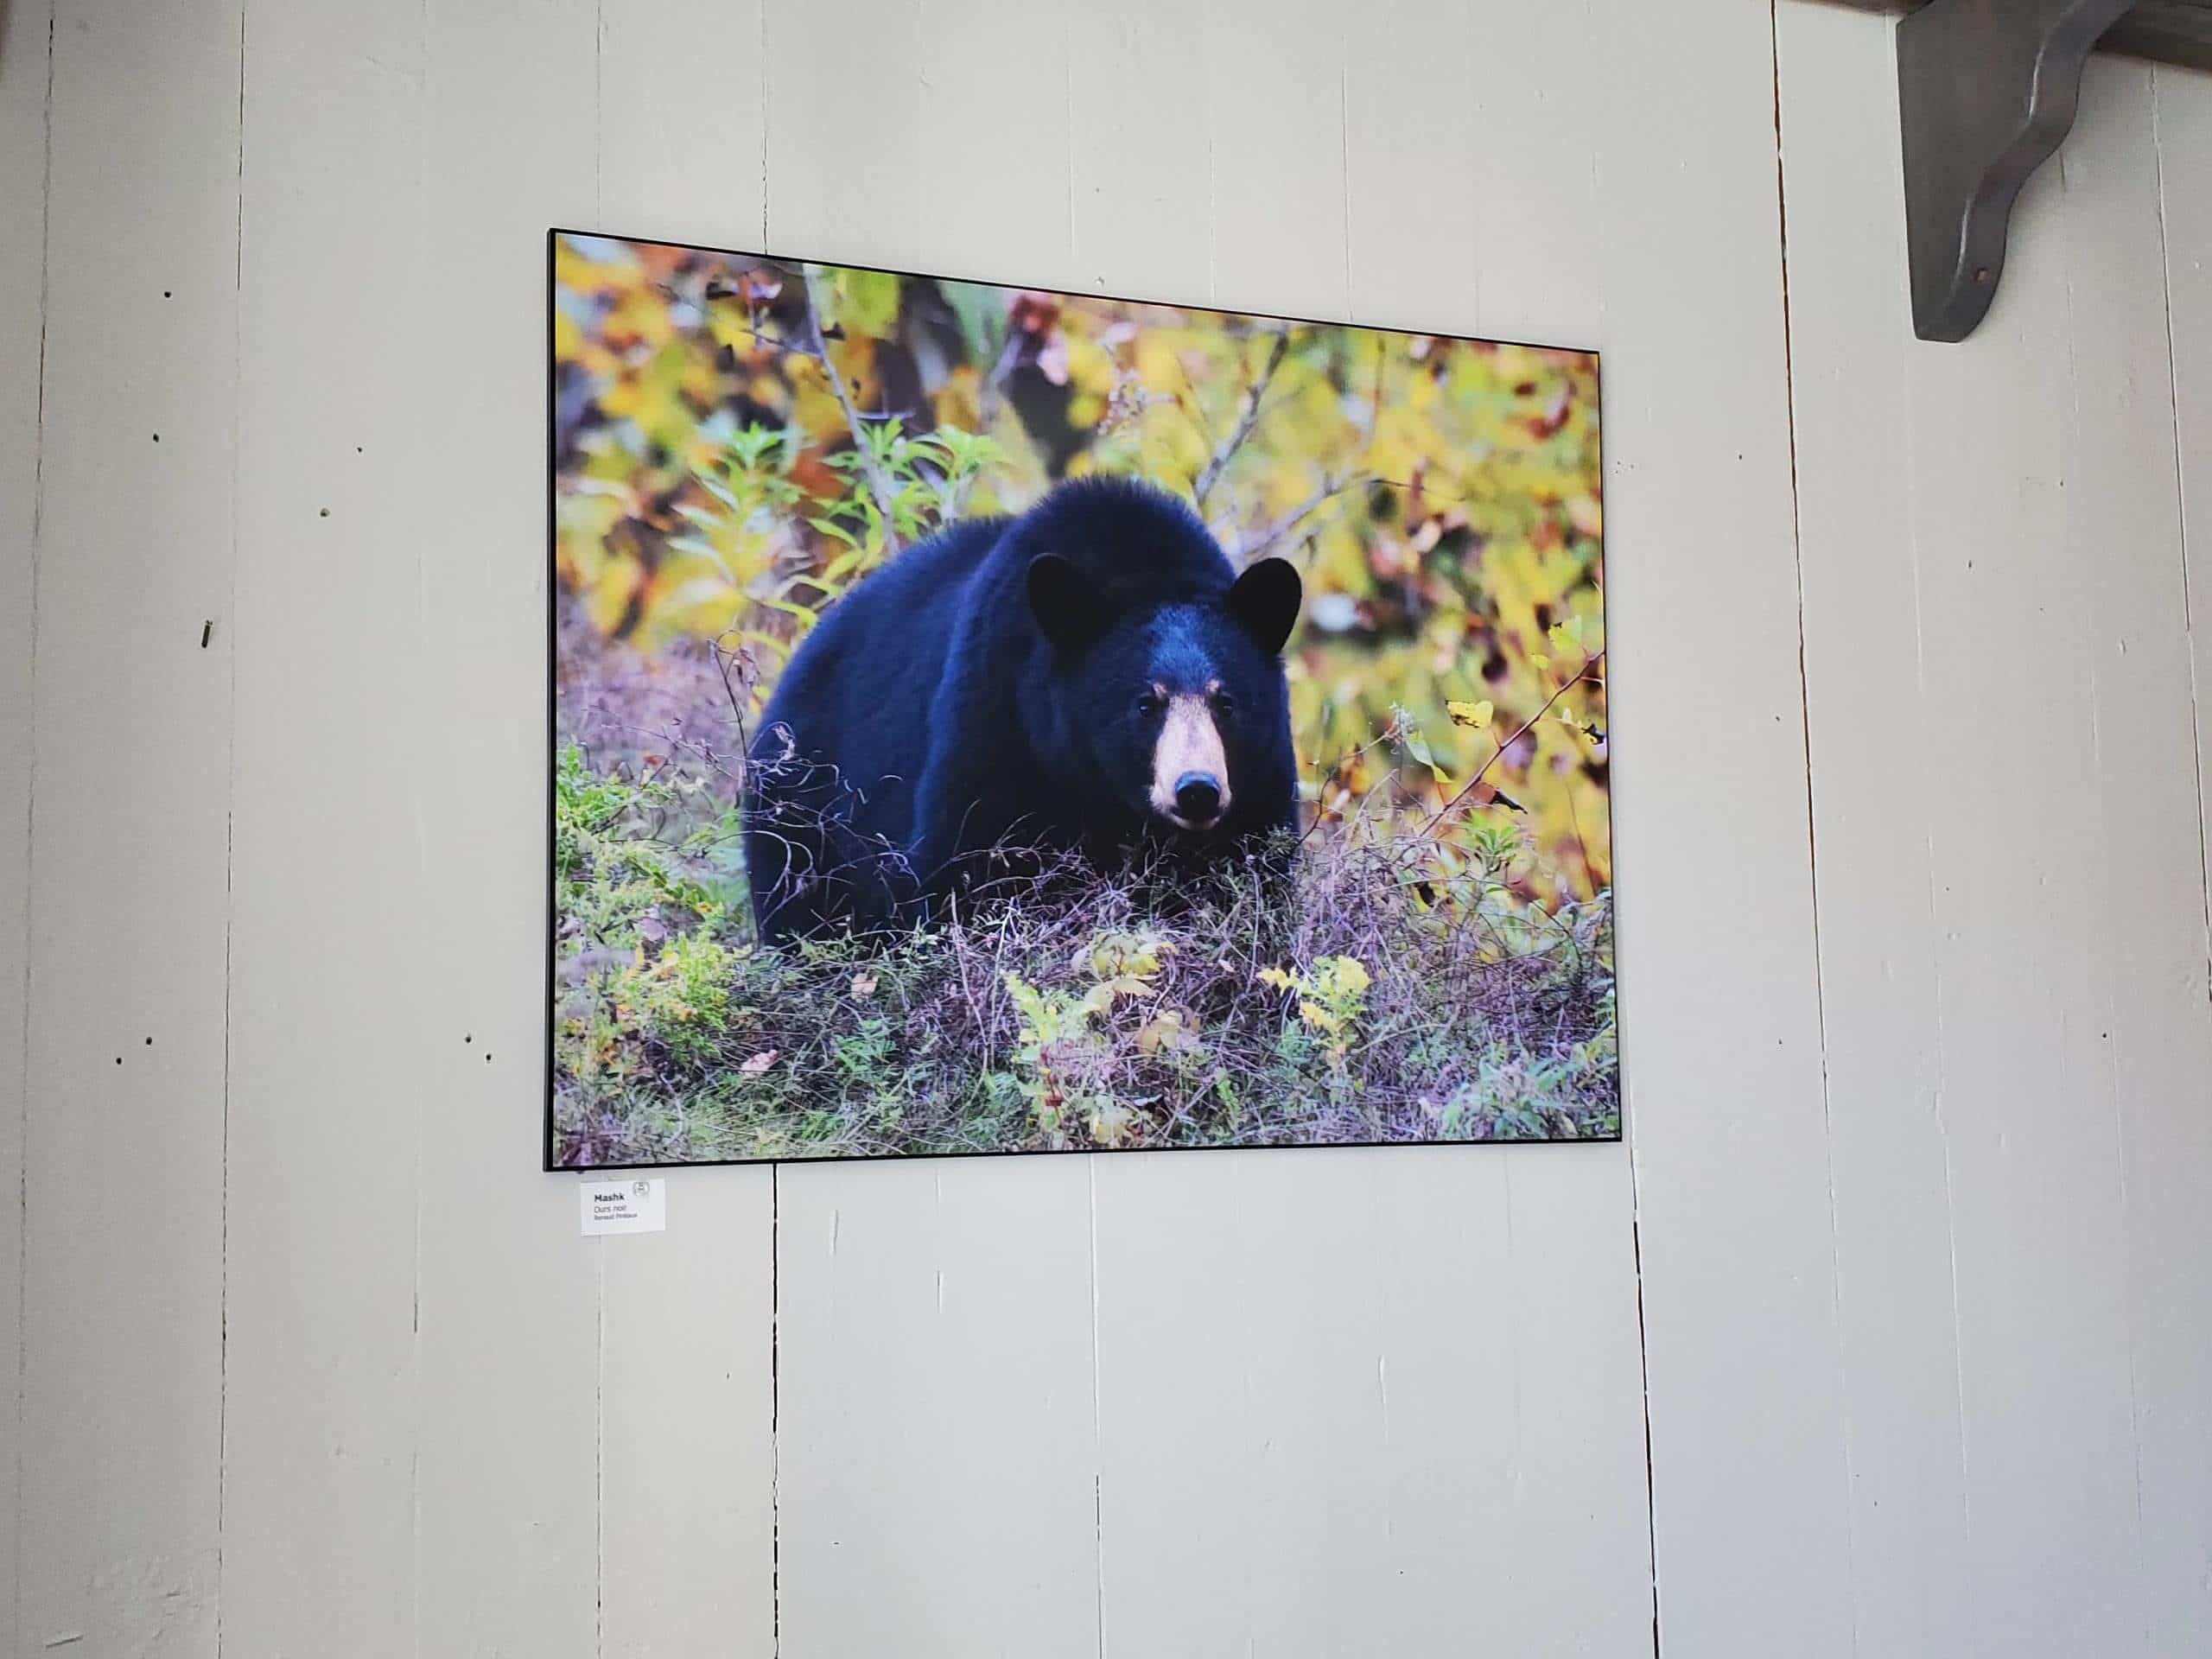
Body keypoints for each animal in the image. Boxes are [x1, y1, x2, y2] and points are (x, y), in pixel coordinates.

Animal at [743, 475, 1303, 943]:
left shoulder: (1261, 781)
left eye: (1226, 702)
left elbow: (1259, 873)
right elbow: (961, 871)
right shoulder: (992, 712)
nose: (1197, 791)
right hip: (799, 814)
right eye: (1146, 703)